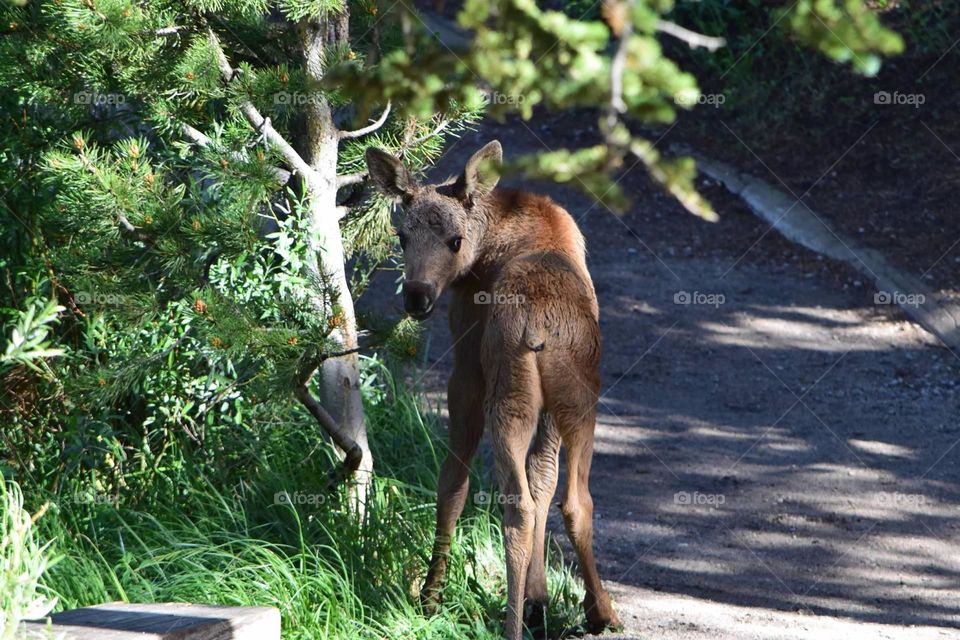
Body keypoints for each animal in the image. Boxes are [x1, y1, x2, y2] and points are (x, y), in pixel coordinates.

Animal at [368, 142, 624, 636]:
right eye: (402, 237)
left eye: (454, 240)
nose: (415, 295)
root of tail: (540, 326)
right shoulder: (548, 410)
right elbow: (543, 479)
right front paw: (538, 597)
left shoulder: (466, 364)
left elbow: (453, 483)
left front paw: (431, 595)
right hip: (571, 399)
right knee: (568, 499)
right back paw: (594, 610)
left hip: (512, 396)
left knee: (524, 504)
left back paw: (532, 621)